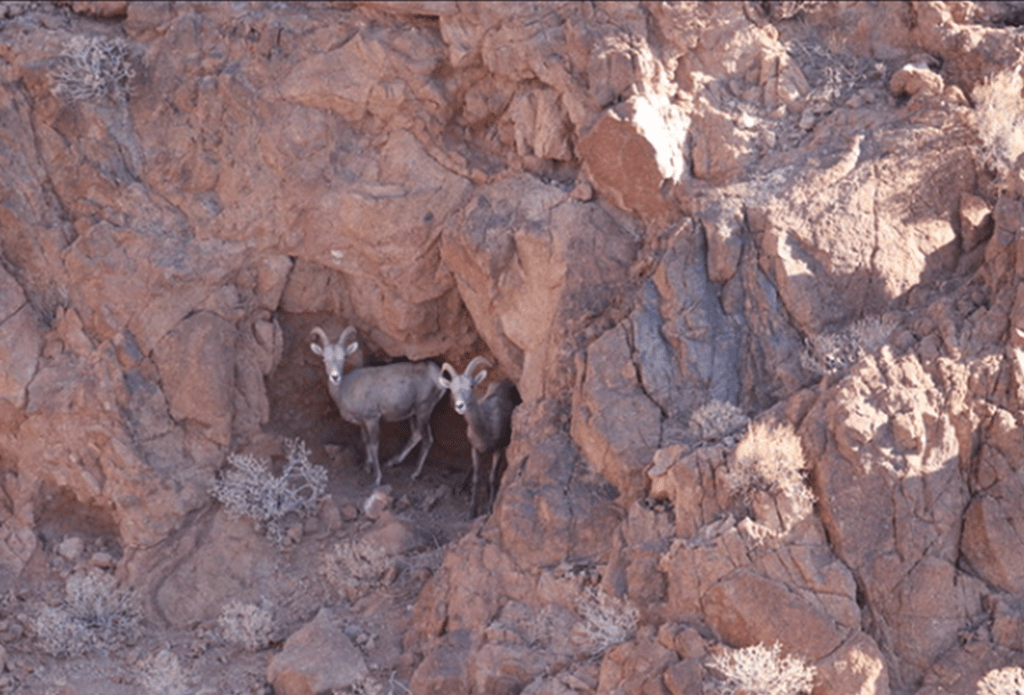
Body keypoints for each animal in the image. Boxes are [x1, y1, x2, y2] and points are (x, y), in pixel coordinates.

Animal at [310, 326, 445, 486]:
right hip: (415, 413)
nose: (335, 377)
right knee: (417, 434)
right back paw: (391, 462)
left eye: (343, 358)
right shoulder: (362, 423)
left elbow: (374, 445)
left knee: (427, 439)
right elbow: (366, 441)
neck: (345, 389)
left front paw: (377, 478)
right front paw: (367, 467)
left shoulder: (372, 418)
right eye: (325, 359)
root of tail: (438, 376)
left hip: (423, 409)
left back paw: (414, 473)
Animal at [438, 357, 520, 518]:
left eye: (471, 386)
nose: (460, 406)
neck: (485, 427)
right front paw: (471, 511)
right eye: (452, 389)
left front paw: (489, 509)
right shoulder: (475, 449)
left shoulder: (498, 449)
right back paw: (460, 487)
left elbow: (492, 478)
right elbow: (476, 478)